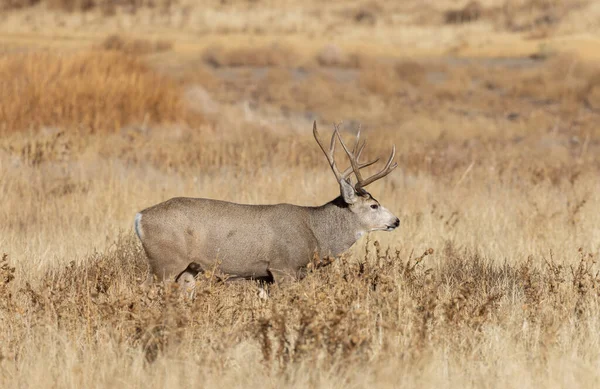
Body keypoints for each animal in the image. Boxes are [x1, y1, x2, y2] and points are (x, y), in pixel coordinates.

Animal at [135, 121, 398, 292]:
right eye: (374, 205)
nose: (396, 221)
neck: (315, 231)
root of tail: (140, 217)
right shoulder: (283, 268)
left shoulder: (263, 277)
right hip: (166, 260)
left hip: (189, 268)